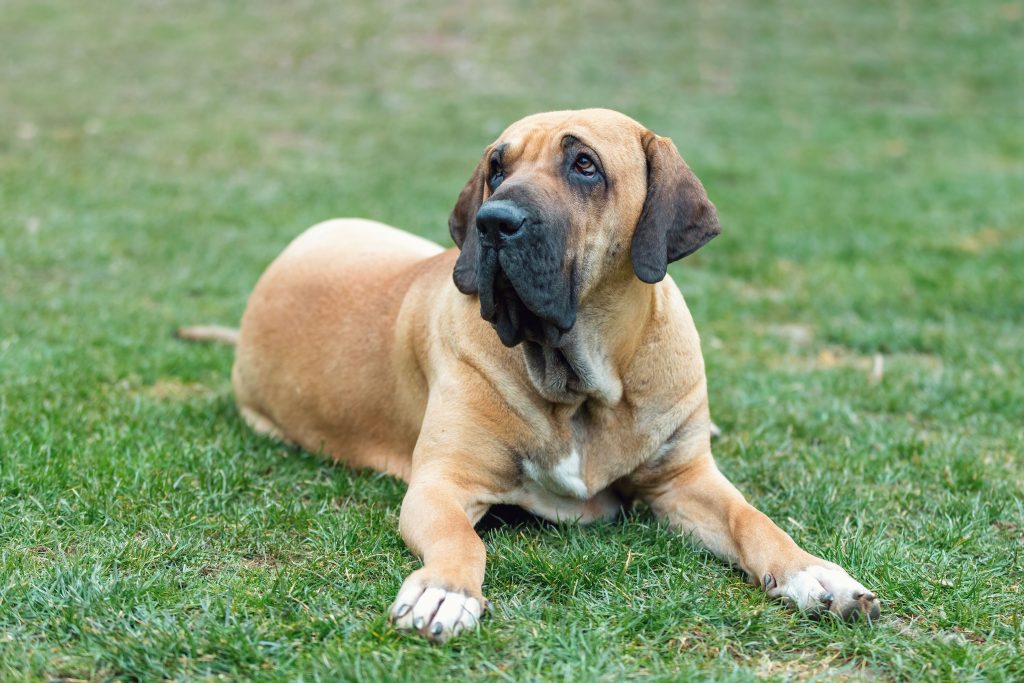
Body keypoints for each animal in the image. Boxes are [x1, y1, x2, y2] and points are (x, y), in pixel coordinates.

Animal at [178, 108, 880, 647]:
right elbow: (462, 540)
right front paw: (444, 592)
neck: (584, 383)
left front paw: (815, 574)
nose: (493, 221)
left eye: (585, 165)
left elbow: (753, 520)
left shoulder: (684, 479)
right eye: (497, 166)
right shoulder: (440, 485)